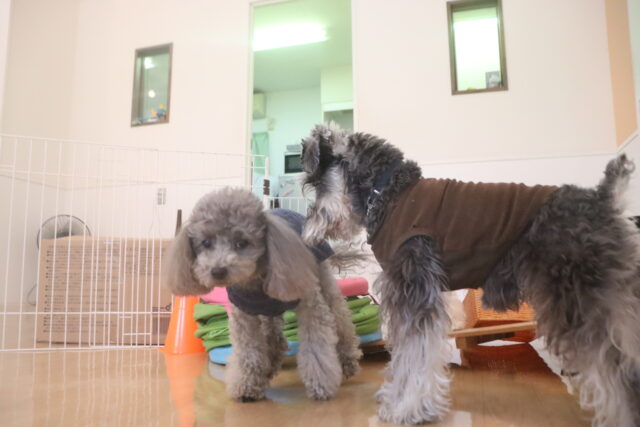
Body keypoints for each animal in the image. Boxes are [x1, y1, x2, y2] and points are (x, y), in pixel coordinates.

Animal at [163, 187, 362, 402]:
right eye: (206, 242)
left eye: (242, 243)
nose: (217, 271)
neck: (255, 282)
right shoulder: (244, 315)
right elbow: (248, 352)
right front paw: (246, 386)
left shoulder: (310, 306)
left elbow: (316, 346)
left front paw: (321, 386)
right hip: (269, 313)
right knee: (275, 338)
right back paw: (269, 367)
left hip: (323, 281)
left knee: (341, 320)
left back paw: (348, 360)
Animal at [300, 123, 640, 426]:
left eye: (315, 183)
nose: (308, 227)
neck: (385, 191)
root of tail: (603, 198)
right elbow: (408, 356)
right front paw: (399, 401)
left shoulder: (413, 292)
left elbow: (414, 356)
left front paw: (408, 409)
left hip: (580, 302)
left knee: (619, 372)